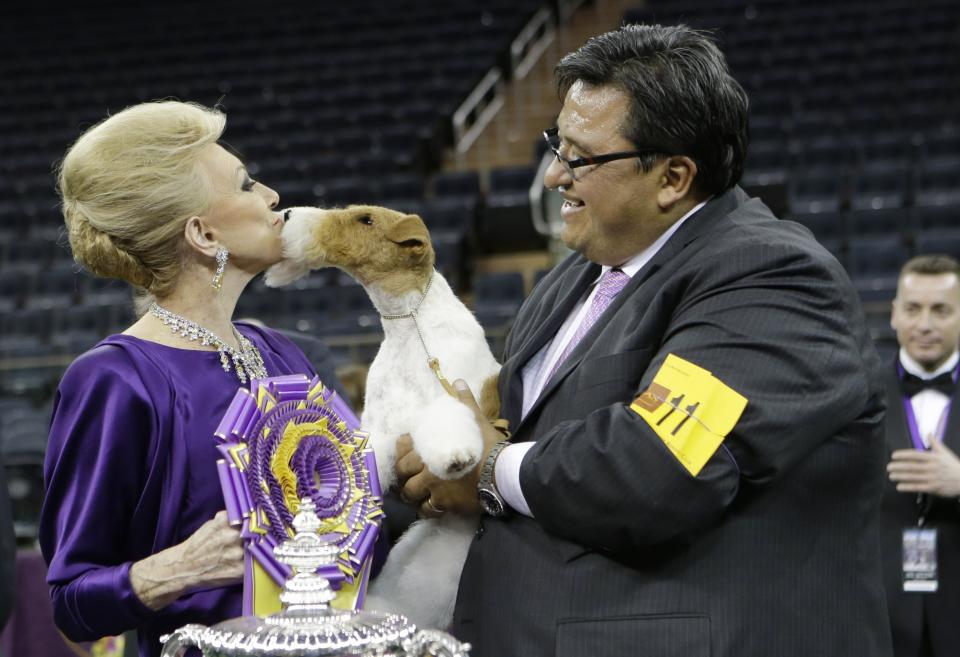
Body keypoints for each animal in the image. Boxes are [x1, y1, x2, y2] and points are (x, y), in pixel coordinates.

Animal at [264, 206, 502, 632]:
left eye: (366, 220)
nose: (288, 213)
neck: (410, 327)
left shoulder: (453, 398)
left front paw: (455, 458)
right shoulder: (380, 429)